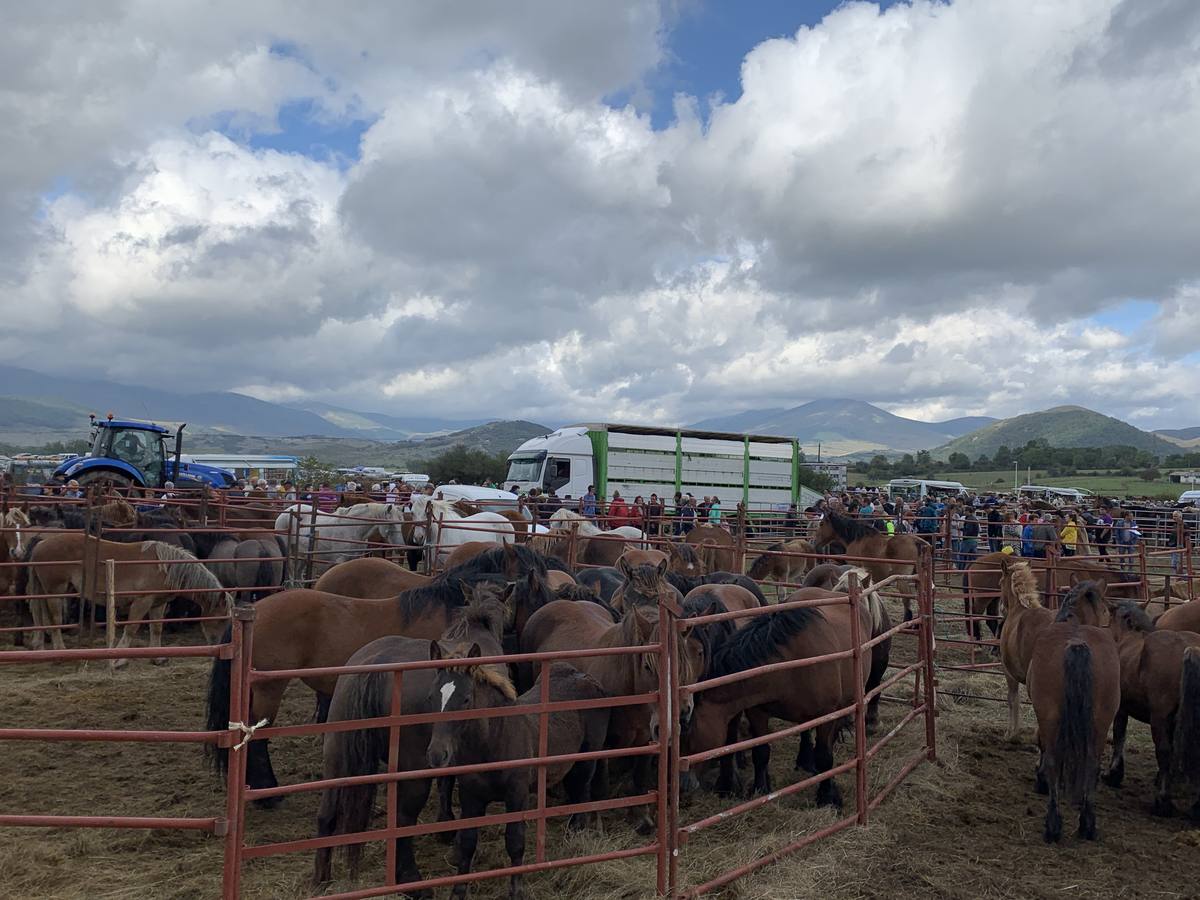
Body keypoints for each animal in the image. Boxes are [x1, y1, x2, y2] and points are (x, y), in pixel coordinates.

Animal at [25, 535, 230, 657]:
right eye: (221, 619)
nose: (219, 644)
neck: (164, 567)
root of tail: (41, 543)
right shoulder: (142, 601)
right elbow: (131, 628)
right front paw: (119, 658)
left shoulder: (157, 604)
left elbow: (156, 628)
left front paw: (158, 657)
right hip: (56, 592)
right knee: (54, 619)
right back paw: (60, 650)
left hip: (48, 590)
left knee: (39, 614)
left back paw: (39, 646)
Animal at [309, 592, 511, 888]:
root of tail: (375, 666)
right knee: (404, 819)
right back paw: (411, 879)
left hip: (336, 756)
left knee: (326, 814)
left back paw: (321, 879)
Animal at [424, 648, 609, 897]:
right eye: (431, 697)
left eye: (466, 699)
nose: (437, 755)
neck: (493, 743)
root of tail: (587, 678)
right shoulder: (470, 797)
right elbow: (467, 843)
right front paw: (458, 891)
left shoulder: (517, 796)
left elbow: (515, 841)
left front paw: (516, 890)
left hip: (587, 758)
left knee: (582, 791)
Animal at [1027, 588, 1118, 844]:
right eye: (1105, 609)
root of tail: (1077, 643)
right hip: (1101, 722)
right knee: (1092, 764)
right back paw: (1087, 825)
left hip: (1050, 717)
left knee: (1053, 761)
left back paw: (1053, 827)